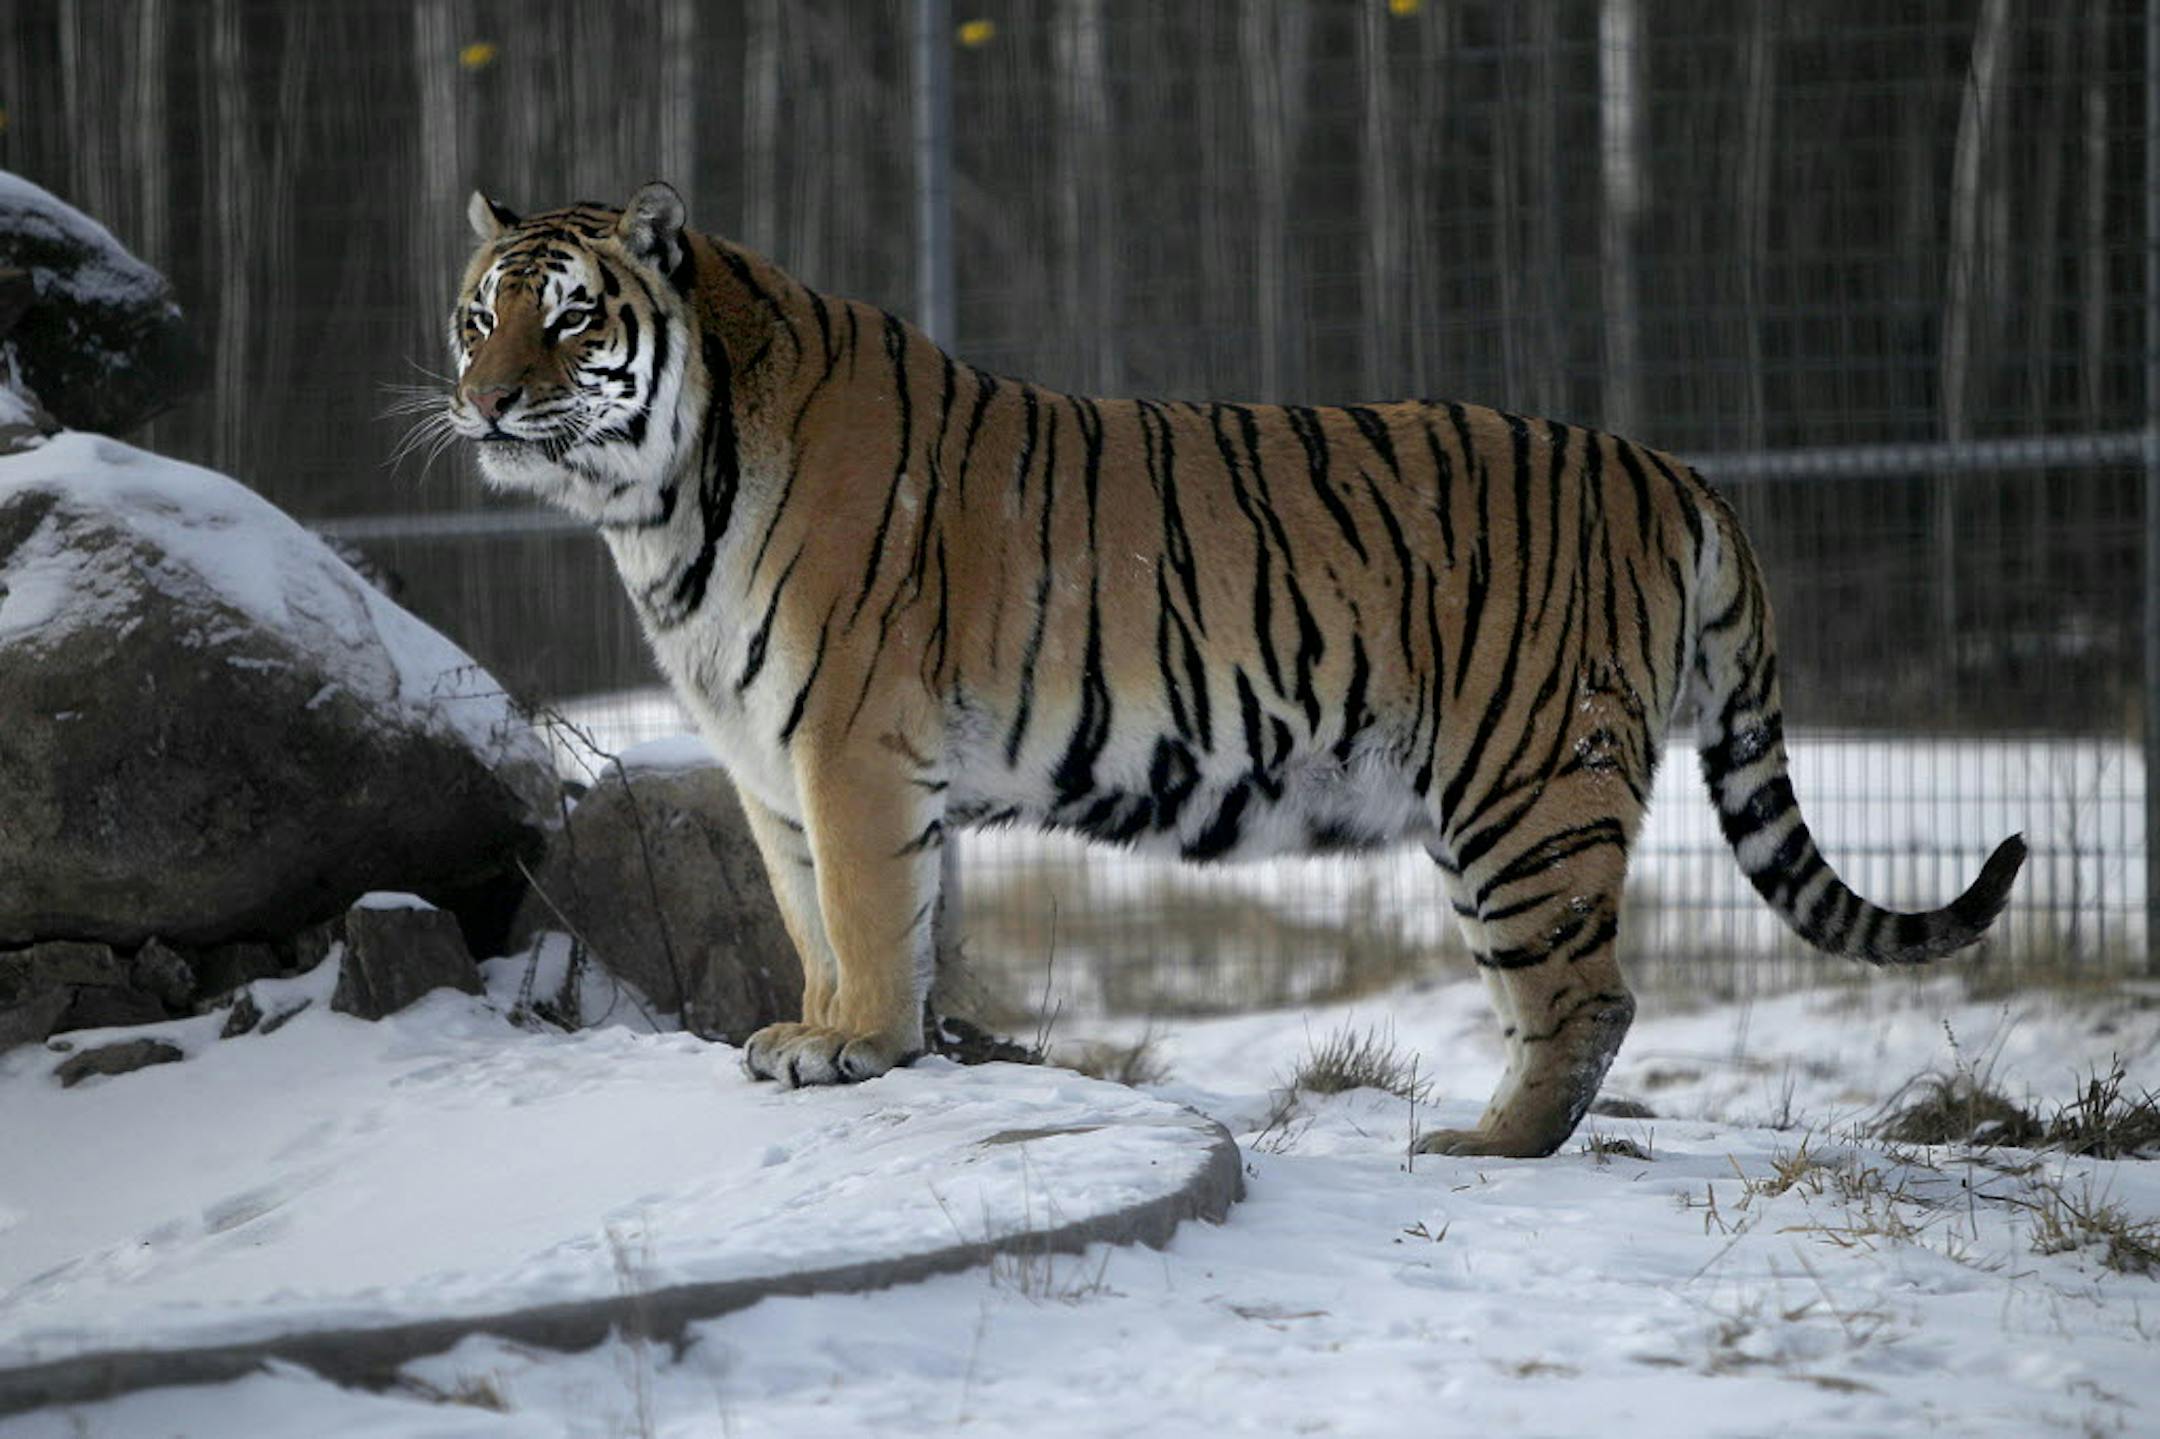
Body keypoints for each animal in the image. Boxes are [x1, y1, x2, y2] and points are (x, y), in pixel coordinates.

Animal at [443, 182, 2025, 1159]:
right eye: (477, 313)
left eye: (571, 315)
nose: (484, 401)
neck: (659, 509)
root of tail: (1672, 467)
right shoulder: (775, 764)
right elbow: (817, 914)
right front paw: (830, 1029)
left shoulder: (851, 744)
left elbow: (872, 913)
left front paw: (859, 1048)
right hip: (1496, 808)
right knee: (1567, 998)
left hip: (1528, 792)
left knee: (1589, 999)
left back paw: (1483, 1145)